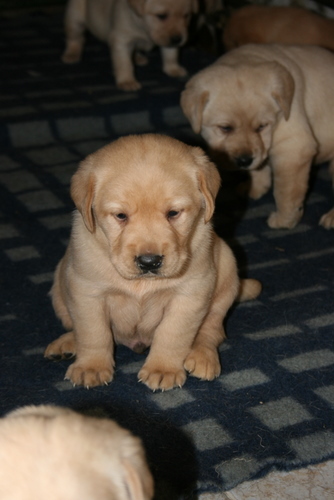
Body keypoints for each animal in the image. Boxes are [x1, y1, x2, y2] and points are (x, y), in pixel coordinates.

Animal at [44, 135, 260, 392]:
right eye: (121, 216)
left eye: (173, 213)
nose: (149, 261)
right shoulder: (86, 291)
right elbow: (93, 333)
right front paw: (91, 367)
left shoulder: (190, 293)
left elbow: (172, 333)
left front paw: (163, 369)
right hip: (59, 285)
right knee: (75, 327)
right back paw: (66, 344)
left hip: (226, 271)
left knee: (212, 330)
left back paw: (203, 357)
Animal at [181, 44, 334, 229]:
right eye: (225, 128)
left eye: (261, 126)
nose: (244, 161)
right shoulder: (260, 150)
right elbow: (259, 167)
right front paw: (255, 187)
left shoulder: (293, 149)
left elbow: (286, 192)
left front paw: (285, 220)